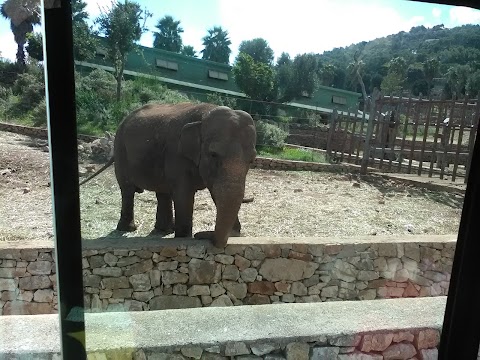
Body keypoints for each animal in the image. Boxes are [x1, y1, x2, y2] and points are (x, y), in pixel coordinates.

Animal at [80, 101, 256, 248]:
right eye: (213, 154)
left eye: (252, 160)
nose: (201, 235)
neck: (205, 114)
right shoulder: (176, 153)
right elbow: (184, 195)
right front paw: (183, 238)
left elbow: (216, 192)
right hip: (121, 149)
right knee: (127, 189)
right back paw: (129, 229)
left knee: (162, 192)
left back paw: (164, 230)